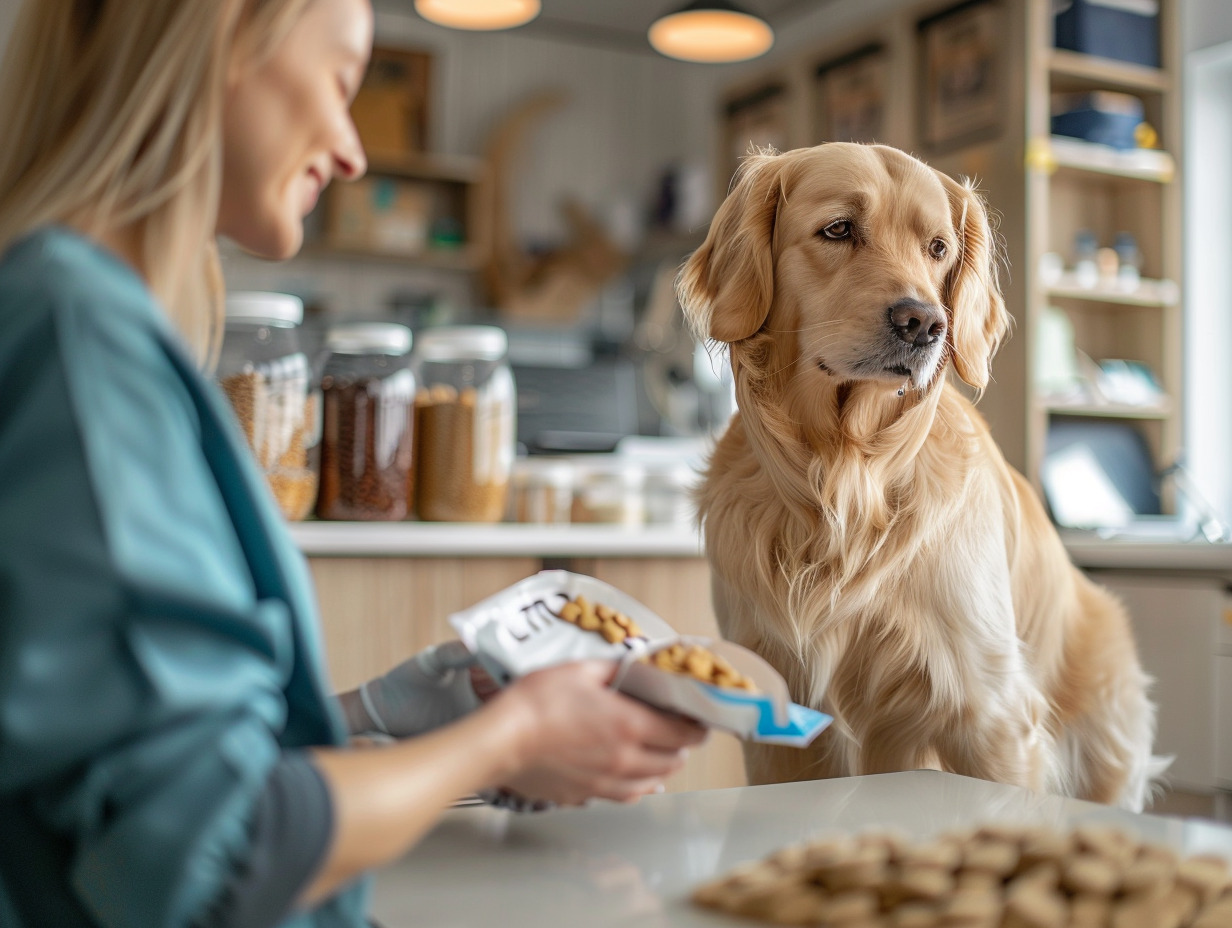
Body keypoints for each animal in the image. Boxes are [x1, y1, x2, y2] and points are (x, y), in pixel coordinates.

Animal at [680, 142, 1158, 808]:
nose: (925, 324)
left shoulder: (991, 714)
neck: (845, 475)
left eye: (938, 248)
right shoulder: (779, 722)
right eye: (838, 229)